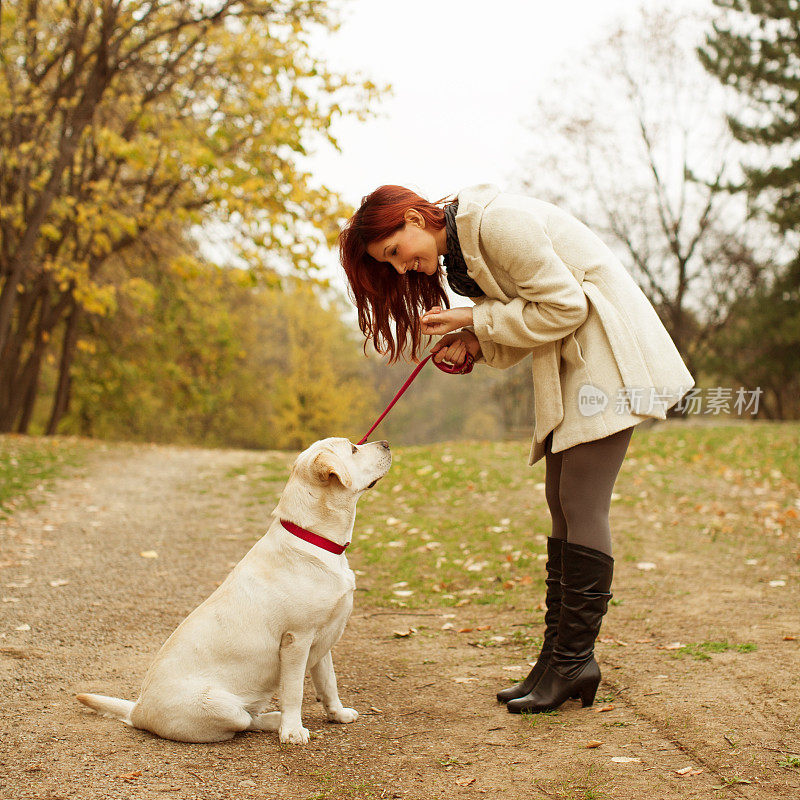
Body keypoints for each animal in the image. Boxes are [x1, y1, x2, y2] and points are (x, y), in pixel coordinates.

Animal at [77, 438, 390, 744]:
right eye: (353, 449)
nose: (386, 443)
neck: (314, 539)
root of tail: (137, 710)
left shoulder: (324, 639)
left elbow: (328, 683)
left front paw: (337, 714)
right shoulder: (296, 640)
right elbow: (294, 692)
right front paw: (292, 731)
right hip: (223, 707)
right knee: (246, 721)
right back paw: (277, 722)